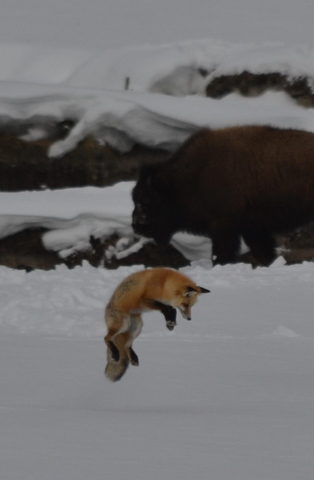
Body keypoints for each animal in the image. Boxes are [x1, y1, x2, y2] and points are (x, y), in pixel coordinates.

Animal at [132, 125, 314, 266]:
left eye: (146, 199)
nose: (136, 225)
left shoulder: (223, 224)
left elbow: (222, 253)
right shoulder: (252, 228)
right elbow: (263, 252)